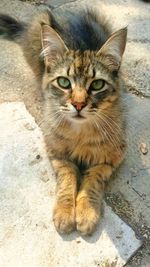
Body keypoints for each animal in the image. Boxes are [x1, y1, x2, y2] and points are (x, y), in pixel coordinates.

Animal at [0, 6, 127, 236]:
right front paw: (65, 211)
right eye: (64, 82)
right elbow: (67, 178)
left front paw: (87, 211)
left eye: (97, 85)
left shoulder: (114, 155)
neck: (81, 131)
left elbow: (93, 179)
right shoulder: (55, 150)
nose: (78, 104)